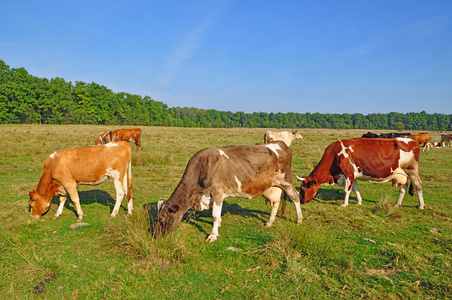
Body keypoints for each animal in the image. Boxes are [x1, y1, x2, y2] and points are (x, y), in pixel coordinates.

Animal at [156, 142, 304, 243]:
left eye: (162, 219)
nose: (156, 237)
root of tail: (282, 144)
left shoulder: (217, 192)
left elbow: (215, 215)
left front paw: (213, 235)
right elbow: (217, 214)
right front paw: (219, 225)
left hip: (286, 180)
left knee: (295, 197)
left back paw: (299, 220)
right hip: (273, 185)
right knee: (276, 202)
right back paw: (269, 222)